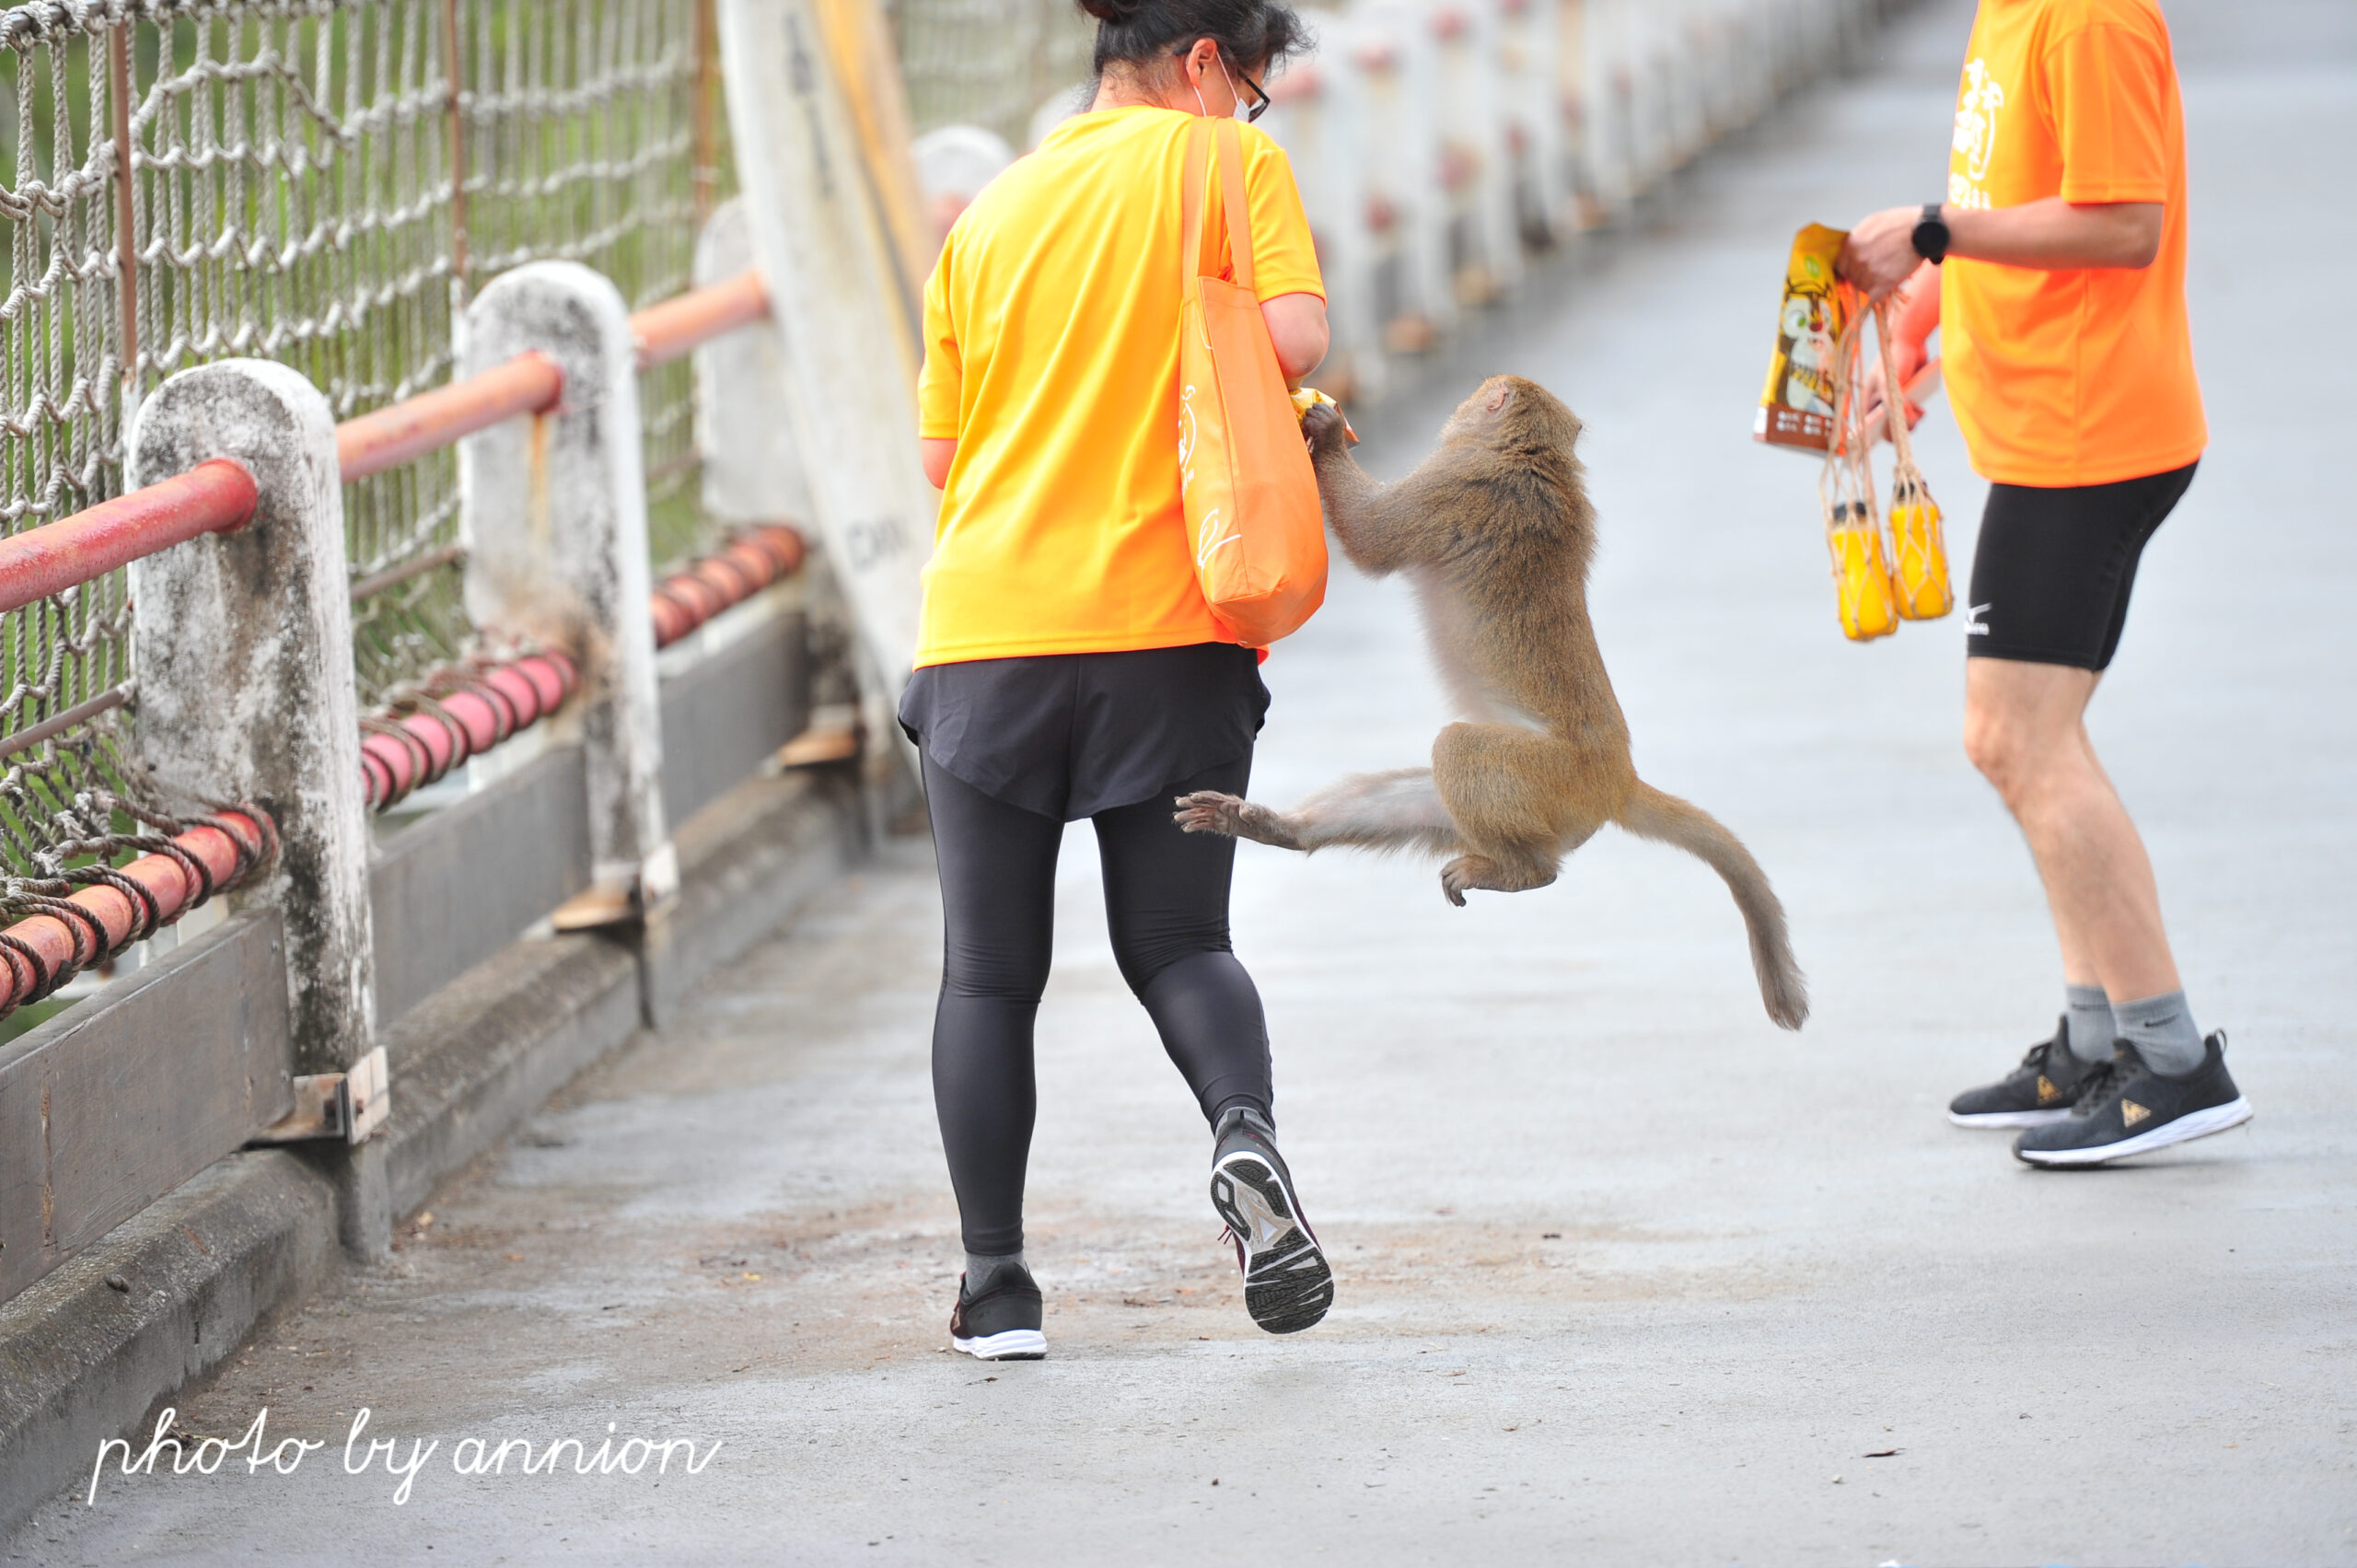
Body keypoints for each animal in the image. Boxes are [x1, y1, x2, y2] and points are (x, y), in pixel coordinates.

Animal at [1173, 367, 1800, 1028]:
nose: (1467, 397)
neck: (1528, 456)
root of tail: (1618, 778)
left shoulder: (1455, 480)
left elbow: (1373, 538)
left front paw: (1328, 434)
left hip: (1547, 779)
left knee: (1457, 749)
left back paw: (1527, 873)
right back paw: (1275, 827)